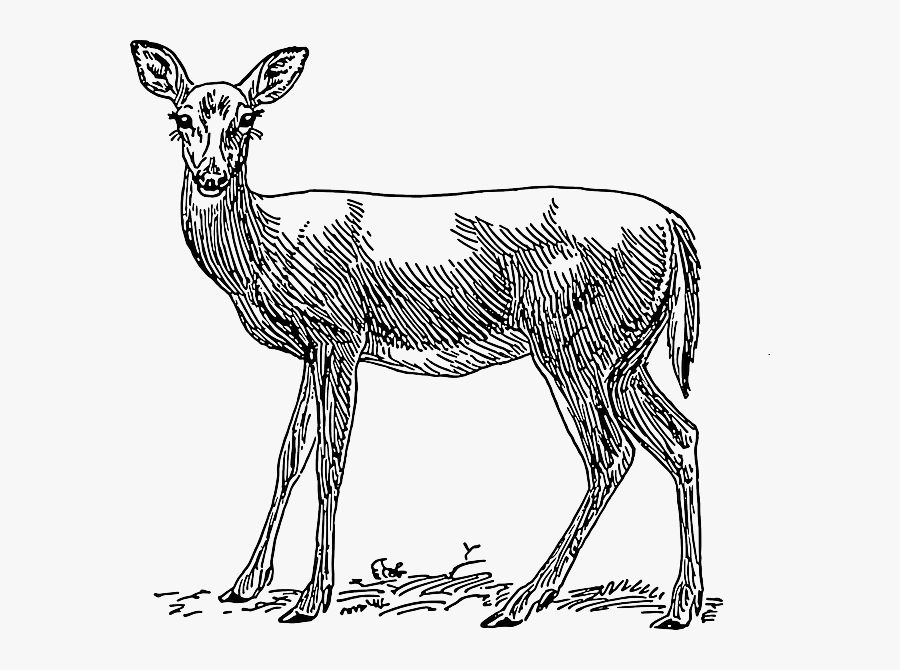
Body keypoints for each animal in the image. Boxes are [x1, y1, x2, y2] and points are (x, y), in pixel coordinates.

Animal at [130, 40, 703, 629]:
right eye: (181, 118)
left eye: (248, 118)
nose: (212, 176)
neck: (268, 248)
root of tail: (680, 232)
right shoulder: (309, 350)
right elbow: (290, 455)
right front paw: (245, 584)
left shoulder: (341, 334)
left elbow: (330, 460)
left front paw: (311, 599)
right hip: (627, 353)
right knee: (680, 437)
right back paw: (680, 604)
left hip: (578, 340)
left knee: (610, 455)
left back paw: (524, 599)